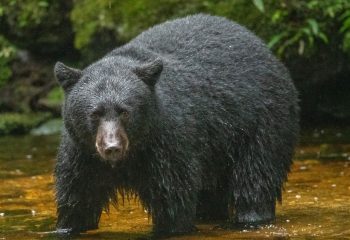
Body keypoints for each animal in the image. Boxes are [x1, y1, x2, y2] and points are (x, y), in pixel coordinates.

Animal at [54, 13, 298, 236]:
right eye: (95, 113)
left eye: (124, 111)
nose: (112, 147)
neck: (132, 154)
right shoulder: (82, 155)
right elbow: (76, 199)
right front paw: (68, 226)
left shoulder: (167, 144)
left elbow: (173, 198)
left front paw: (170, 227)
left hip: (261, 123)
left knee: (255, 178)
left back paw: (250, 217)